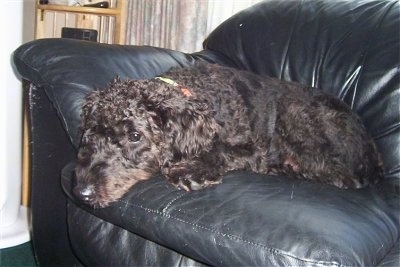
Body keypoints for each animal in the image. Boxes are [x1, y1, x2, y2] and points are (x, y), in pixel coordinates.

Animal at [73, 62, 382, 207]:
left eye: (135, 136)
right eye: (90, 133)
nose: (82, 192)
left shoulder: (254, 147)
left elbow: (223, 150)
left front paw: (194, 170)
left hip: (294, 111)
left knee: (340, 176)